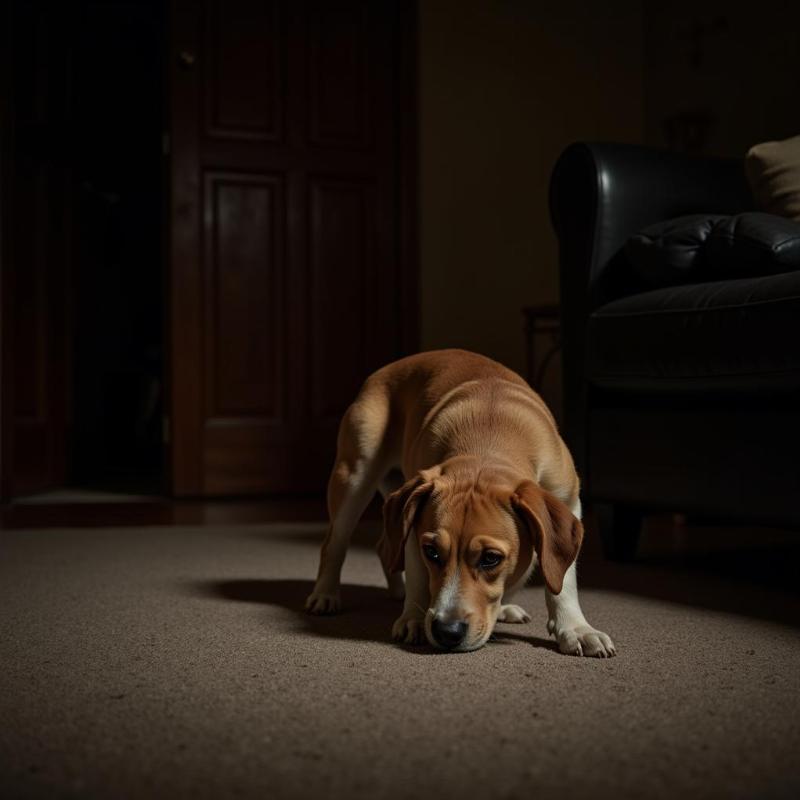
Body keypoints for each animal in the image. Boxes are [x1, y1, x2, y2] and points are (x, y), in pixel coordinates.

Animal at [304, 350, 612, 656]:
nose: (446, 631)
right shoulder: (415, 524)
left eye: (491, 558)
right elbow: (418, 574)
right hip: (354, 475)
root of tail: (384, 370)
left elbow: (563, 580)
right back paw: (326, 594)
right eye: (431, 552)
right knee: (334, 544)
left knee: (384, 547)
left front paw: (575, 628)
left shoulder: (569, 501)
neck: (488, 438)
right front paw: (413, 618)